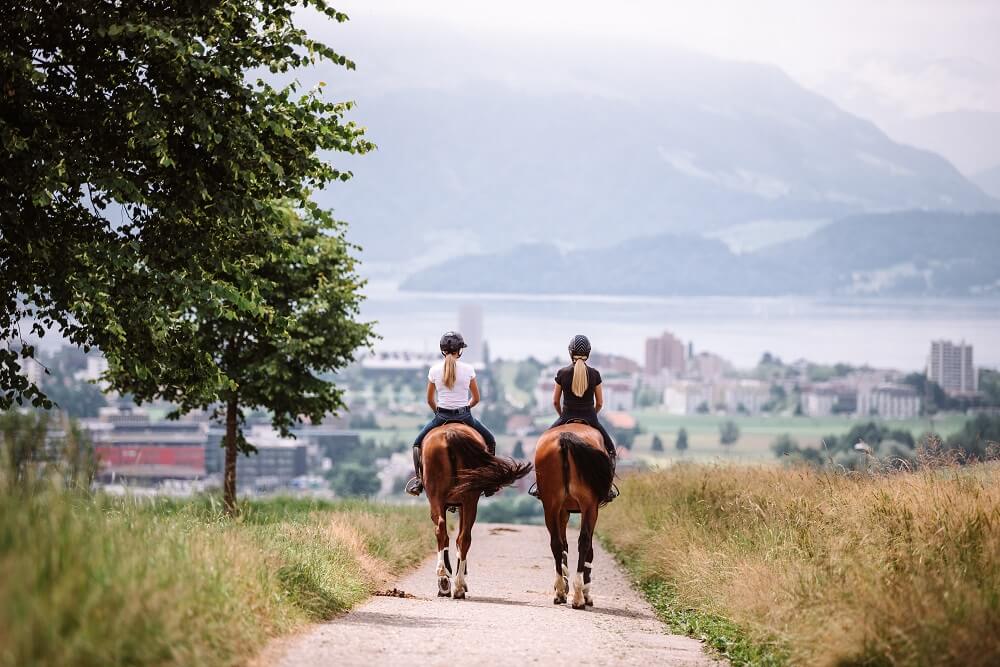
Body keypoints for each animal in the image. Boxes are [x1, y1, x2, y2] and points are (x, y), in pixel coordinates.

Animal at [422, 422, 536, 600]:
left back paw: (449, 581)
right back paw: (451, 582)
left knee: (451, 534)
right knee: (457, 536)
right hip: (464, 499)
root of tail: (450, 433)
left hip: (448, 498)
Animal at [536, 426, 612, 608]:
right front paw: (586, 593)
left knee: (556, 543)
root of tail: (565, 437)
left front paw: (563, 586)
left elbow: (564, 545)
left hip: (550, 505)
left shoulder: (563, 511)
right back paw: (578, 596)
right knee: (584, 542)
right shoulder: (591, 510)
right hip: (588, 504)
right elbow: (589, 549)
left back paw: (560, 592)